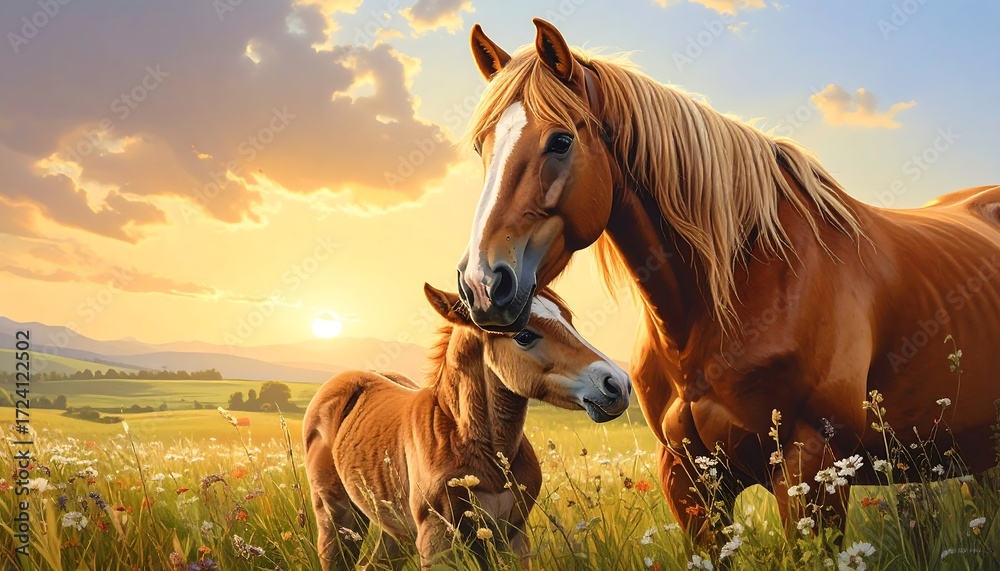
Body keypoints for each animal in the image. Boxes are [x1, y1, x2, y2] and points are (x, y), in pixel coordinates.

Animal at [303, 283, 631, 570]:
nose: (618, 385)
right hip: (337, 518)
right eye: (524, 335)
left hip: (395, 528)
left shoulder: (511, 535)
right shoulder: (437, 541)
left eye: (569, 321)